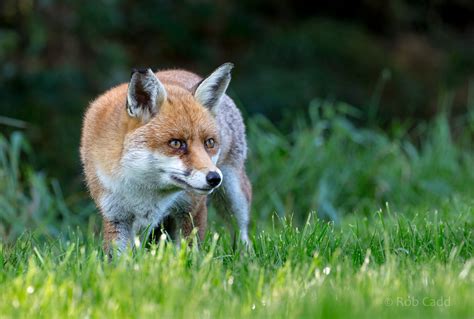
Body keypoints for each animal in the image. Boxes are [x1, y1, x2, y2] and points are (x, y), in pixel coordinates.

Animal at [80, 63, 252, 255]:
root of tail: (184, 72)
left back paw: (245, 256)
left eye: (209, 142)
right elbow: (118, 258)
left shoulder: (192, 208)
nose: (214, 178)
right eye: (176, 143)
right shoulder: (116, 216)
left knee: (241, 230)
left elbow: (191, 253)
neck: (147, 191)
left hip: (234, 194)